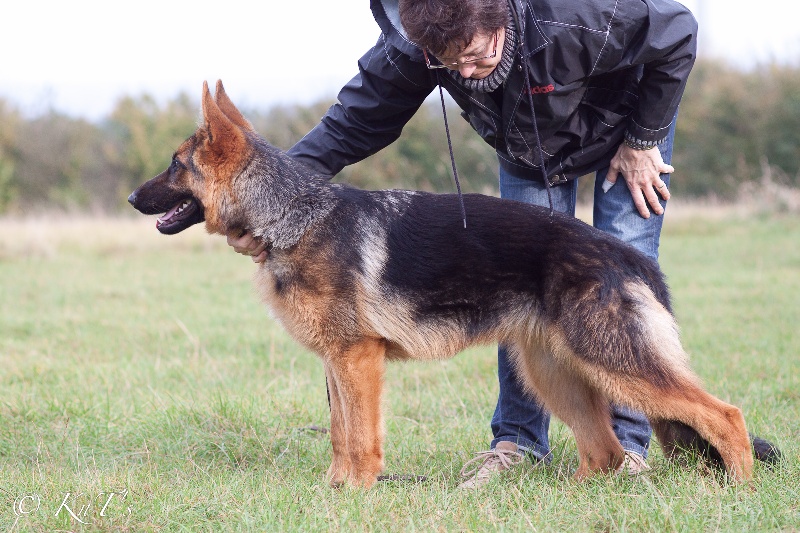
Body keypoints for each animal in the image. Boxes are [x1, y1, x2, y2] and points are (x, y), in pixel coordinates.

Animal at [128, 80, 780, 486]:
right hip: (554, 372)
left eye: (175, 165)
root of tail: (627, 256)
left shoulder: (357, 359)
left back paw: (739, 491)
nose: (132, 197)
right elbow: (339, 433)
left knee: (724, 415)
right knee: (605, 453)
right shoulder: (337, 362)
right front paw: (334, 490)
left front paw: (355, 493)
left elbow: (359, 436)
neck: (291, 215)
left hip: (613, 362)